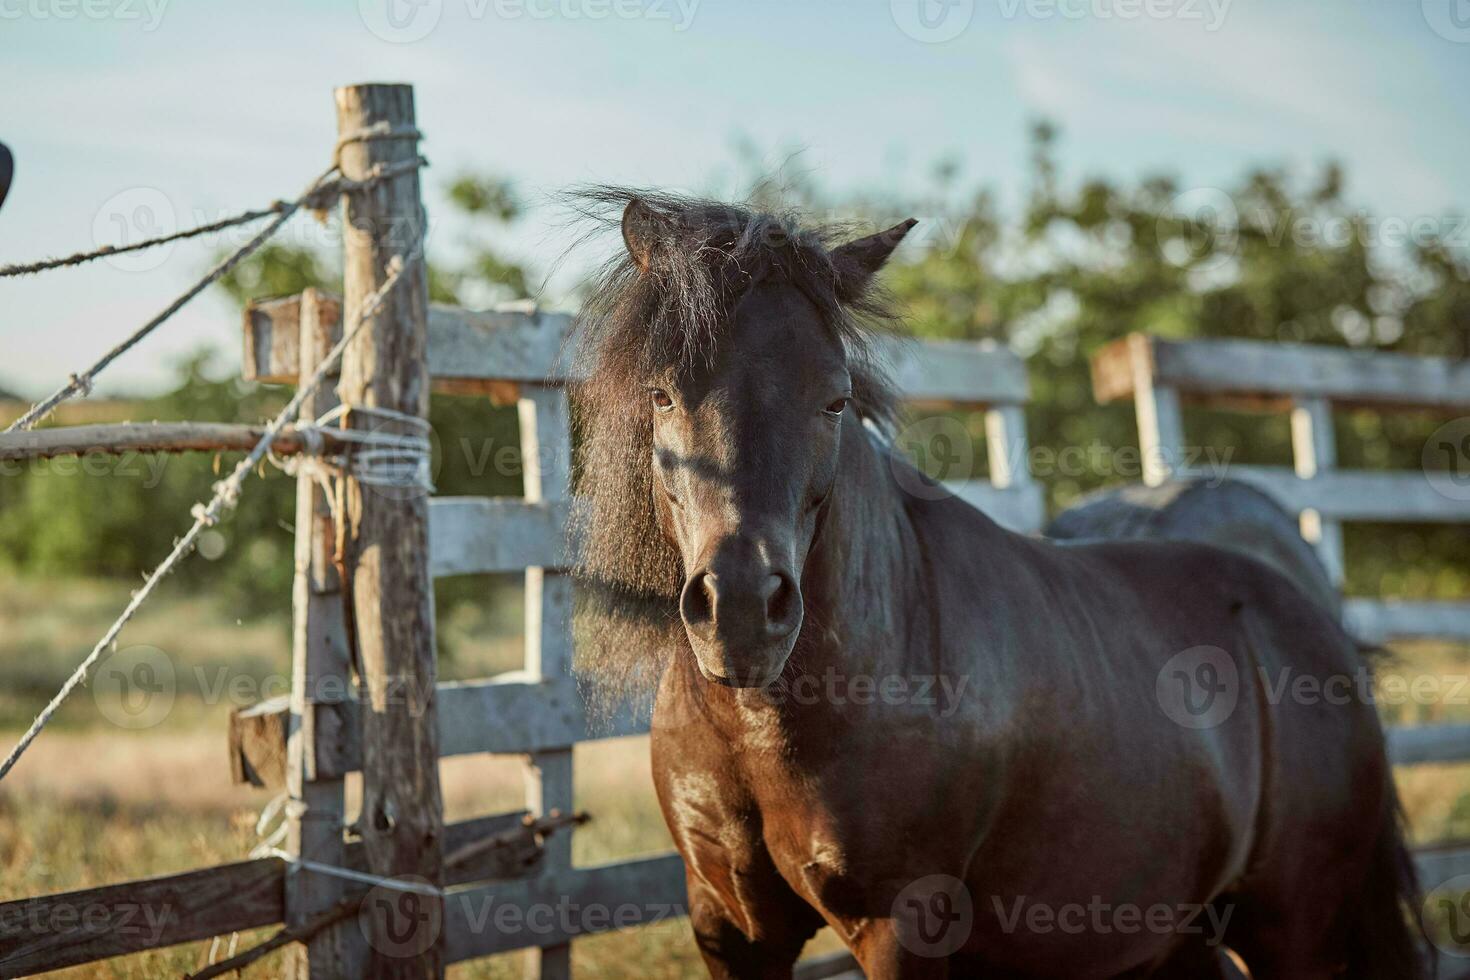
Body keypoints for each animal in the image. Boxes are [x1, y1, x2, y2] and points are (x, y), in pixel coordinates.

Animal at [564, 188, 1422, 975]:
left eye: (835, 399)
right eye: (660, 393)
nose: (742, 611)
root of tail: (1308, 612)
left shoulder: (903, 927)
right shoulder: (731, 927)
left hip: (1296, 929)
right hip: (1175, 933)